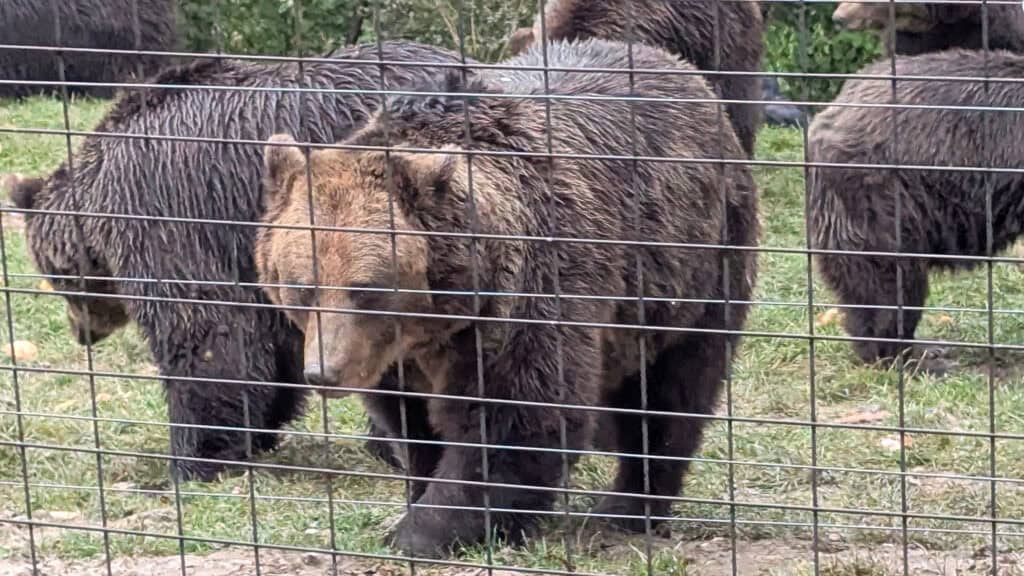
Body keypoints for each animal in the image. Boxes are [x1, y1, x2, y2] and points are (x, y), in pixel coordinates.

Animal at [6, 41, 474, 481]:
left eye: (59, 278)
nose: (82, 333)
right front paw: (259, 428)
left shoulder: (166, 213)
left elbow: (203, 331)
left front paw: (193, 457)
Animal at [255, 37, 760, 557]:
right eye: (301, 286)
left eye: (367, 289)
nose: (324, 372)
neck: (438, 318)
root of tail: (672, 65)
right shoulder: (393, 354)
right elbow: (411, 421)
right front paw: (417, 493)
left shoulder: (528, 293)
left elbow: (517, 416)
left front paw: (422, 530)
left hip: (693, 267)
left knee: (671, 392)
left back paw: (626, 507)